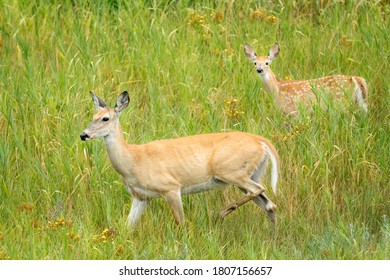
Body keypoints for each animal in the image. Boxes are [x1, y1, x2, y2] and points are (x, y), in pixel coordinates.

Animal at [79, 91, 280, 228]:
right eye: (92, 116)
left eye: (105, 118)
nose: (83, 134)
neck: (133, 160)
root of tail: (262, 142)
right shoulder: (141, 196)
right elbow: (127, 226)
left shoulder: (171, 187)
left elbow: (180, 223)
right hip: (250, 173)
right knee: (270, 205)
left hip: (231, 171)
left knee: (259, 191)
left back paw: (222, 212)